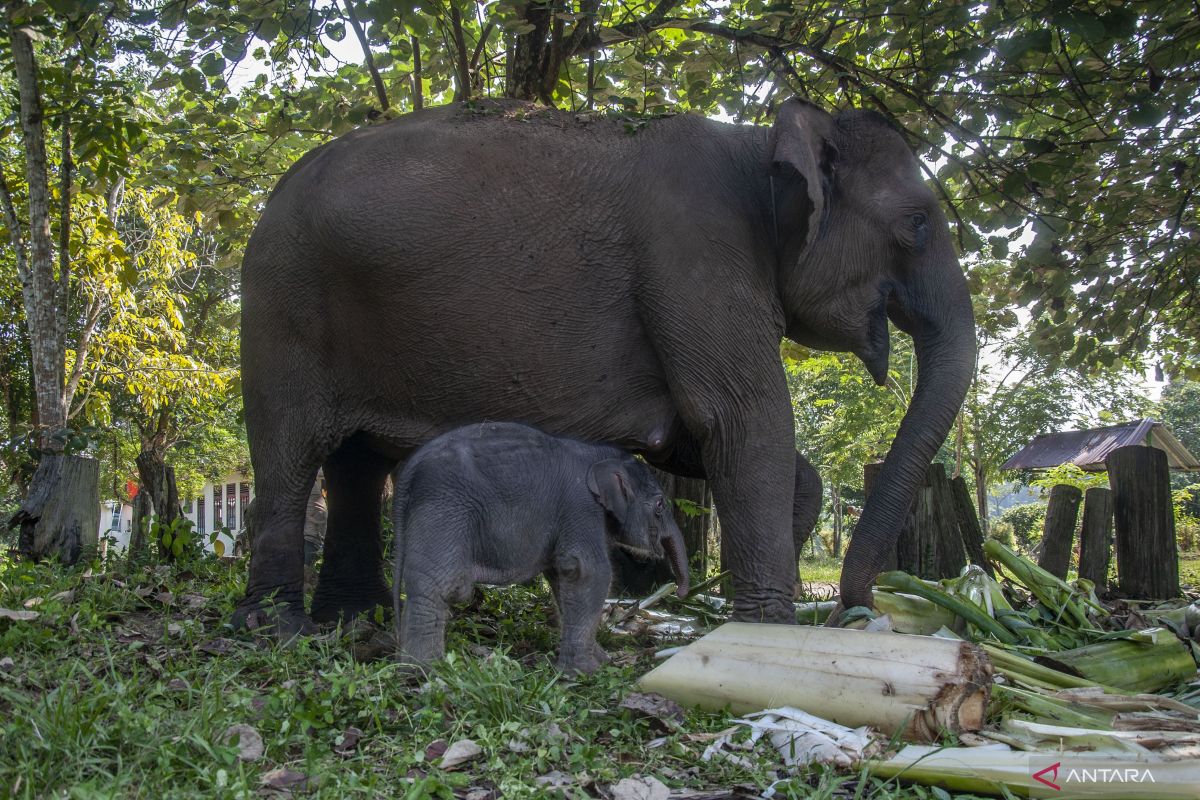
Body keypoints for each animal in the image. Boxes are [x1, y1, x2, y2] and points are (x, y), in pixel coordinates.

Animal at [236, 97, 974, 633]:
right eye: (919, 224)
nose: (862, 608)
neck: (757, 144)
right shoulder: (696, 256)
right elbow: (741, 418)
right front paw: (771, 637)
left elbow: (696, 437)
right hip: (281, 305)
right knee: (288, 459)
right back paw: (276, 629)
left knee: (355, 464)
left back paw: (348, 619)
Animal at [393, 422, 691, 671]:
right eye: (660, 505)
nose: (679, 592)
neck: (597, 454)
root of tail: (408, 471)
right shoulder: (580, 507)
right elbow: (587, 571)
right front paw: (586, 671)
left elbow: (562, 576)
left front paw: (602, 659)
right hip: (444, 510)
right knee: (439, 585)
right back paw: (425, 670)